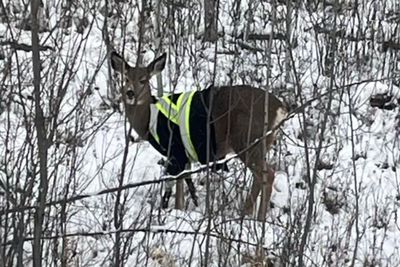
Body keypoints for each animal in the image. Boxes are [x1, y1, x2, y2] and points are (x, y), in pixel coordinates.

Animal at [109, 51, 288, 221]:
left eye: (143, 80)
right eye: (126, 78)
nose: (130, 93)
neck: (148, 120)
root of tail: (280, 109)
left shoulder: (175, 149)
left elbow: (178, 182)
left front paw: (177, 210)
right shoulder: (184, 154)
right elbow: (184, 181)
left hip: (247, 139)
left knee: (267, 174)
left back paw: (255, 219)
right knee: (261, 176)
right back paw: (249, 215)